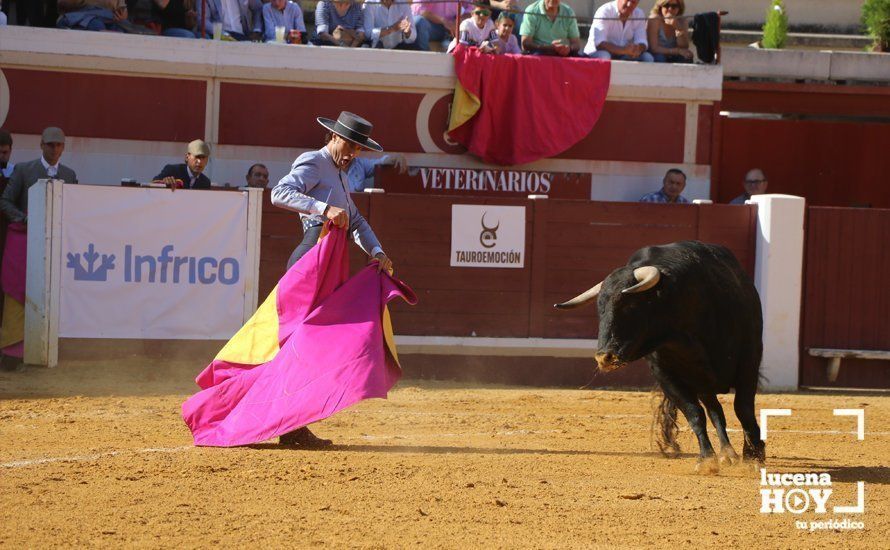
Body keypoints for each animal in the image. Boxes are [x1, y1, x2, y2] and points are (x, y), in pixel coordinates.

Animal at [556, 242, 764, 474]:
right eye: (599, 309)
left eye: (630, 305)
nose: (604, 358)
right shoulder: (666, 376)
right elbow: (695, 413)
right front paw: (706, 460)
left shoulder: (749, 362)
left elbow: (743, 409)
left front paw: (753, 456)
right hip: (701, 382)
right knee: (714, 411)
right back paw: (727, 453)